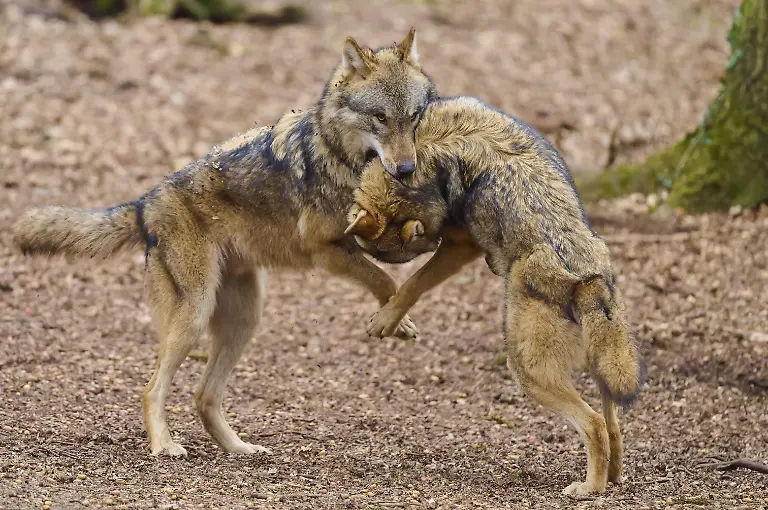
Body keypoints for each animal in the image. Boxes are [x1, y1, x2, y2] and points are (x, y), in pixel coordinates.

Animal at [12, 29, 437, 457]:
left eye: (413, 117)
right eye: (380, 118)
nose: (406, 169)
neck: (341, 155)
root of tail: (144, 203)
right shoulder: (326, 250)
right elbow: (383, 278)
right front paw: (397, 322)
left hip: (243, 321)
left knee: (203, 395)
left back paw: (241, 450)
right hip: (195, 315)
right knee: (152, 390)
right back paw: (165, 446)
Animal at [345, 96, 646, 496]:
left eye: (394, 254)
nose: (429, 238)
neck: (427, 148)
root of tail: (586, 277)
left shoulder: (460, 245)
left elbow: (413, 284)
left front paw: (386, 320)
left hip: (528, 373)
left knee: (594, 424)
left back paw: (588, 489)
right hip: (606, 367)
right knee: (614, 427)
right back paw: (612, 477)